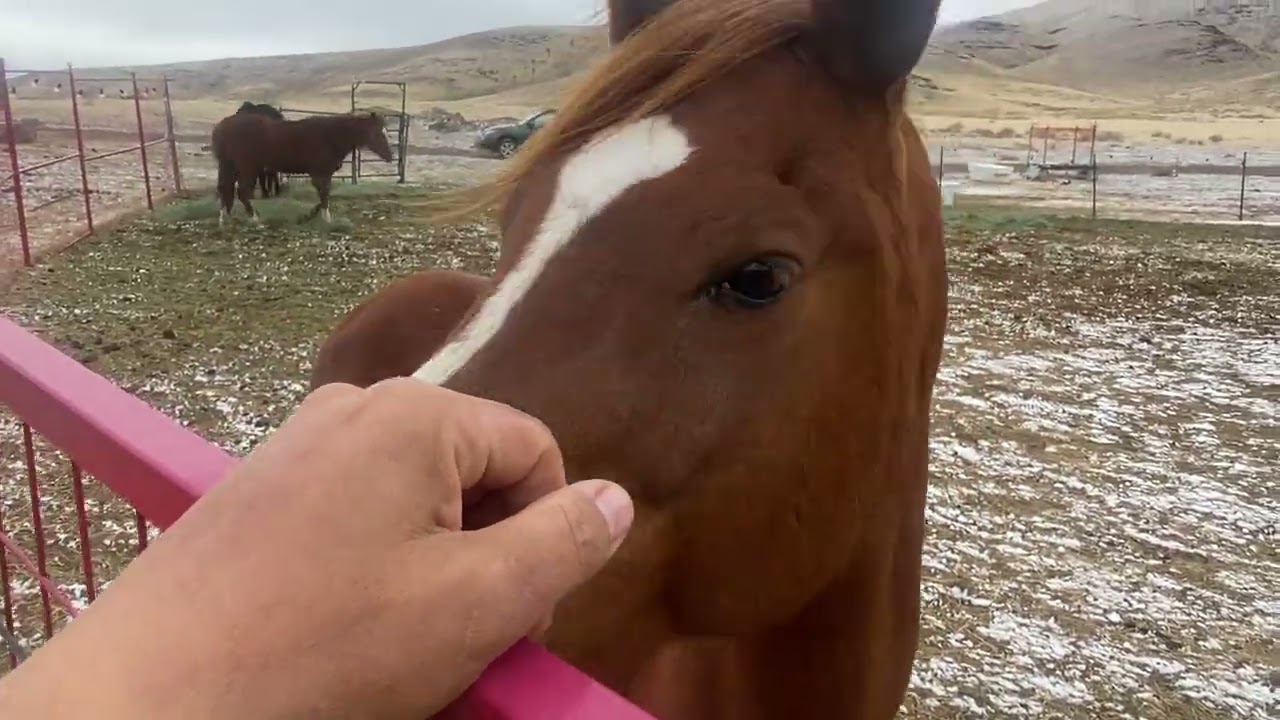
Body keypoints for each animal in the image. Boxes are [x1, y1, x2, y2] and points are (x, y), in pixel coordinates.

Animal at [210, 111, 393, 226]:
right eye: (378, 133)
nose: (390, 157)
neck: (329, 136)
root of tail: (221, 127)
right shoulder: (321, 173)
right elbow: (324, 195)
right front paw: (325, 219)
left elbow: (323, 195)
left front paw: (312, 216)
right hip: (247, 166)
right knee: (242, 191)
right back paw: (255, 219)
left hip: (229, 165)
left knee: (225, 189)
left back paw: (225, 219)